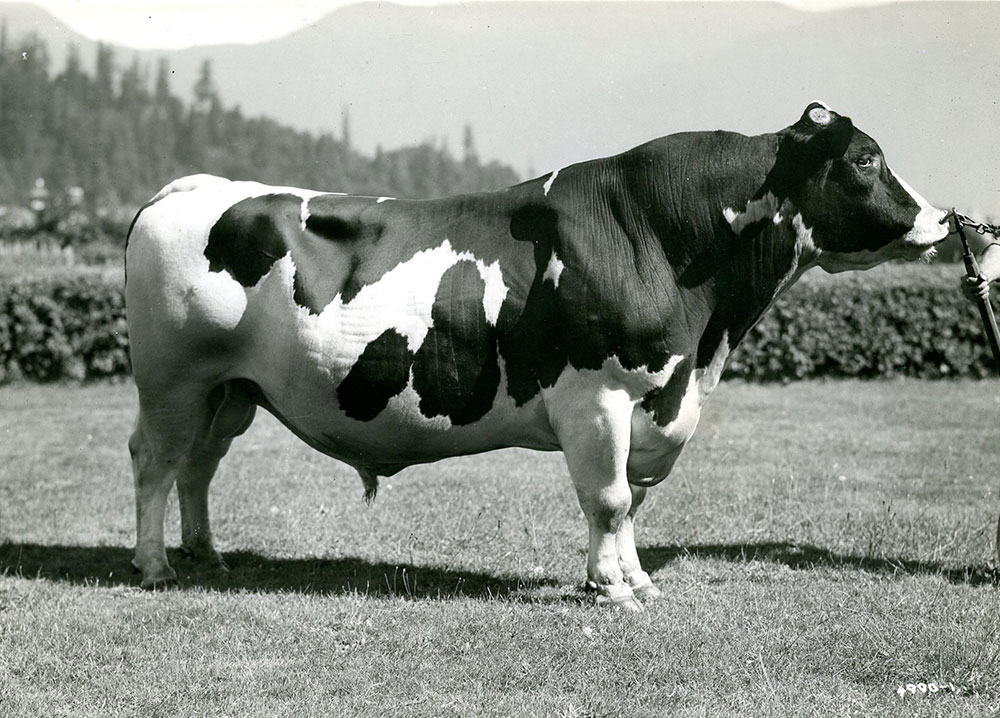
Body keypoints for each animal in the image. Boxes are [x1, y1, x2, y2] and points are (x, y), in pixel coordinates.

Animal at [123, 104, 944, 612]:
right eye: (866, 158)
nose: (940, 219)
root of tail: (189, 189)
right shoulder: (596, 396)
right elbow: (609, 498)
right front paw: (612, 592)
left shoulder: (656, 399)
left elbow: (630, 502)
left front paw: (634, 580)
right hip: (171, 379)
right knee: (156, 460)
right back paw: (155, 565)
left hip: (228, 389)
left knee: (199, 466)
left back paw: (205, 554)